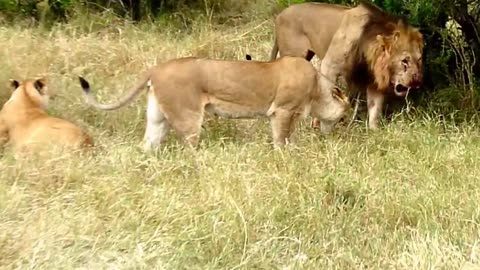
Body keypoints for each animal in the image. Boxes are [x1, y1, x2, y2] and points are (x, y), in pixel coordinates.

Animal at [78, 56, 348, 150]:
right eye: (342, 118)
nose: (335, 132)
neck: (316, 88)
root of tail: (156, 68)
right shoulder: (281, 110)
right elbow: (281, 139)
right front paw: (286, 157)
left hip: (157, 118)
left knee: (147, 144)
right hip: (188, 117)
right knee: (189, 148)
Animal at [270, 0, 424, 129]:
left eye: (419, 60)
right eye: (404, 60)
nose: (417, 81)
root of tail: (280, 15)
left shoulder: (373, 79)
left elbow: (375, 109)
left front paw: (374, 132)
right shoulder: (329, 66)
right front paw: (319, 127)